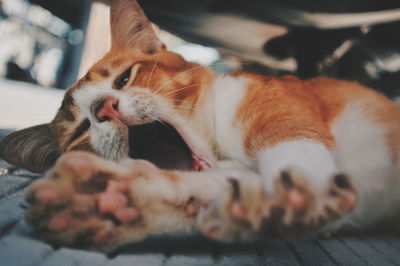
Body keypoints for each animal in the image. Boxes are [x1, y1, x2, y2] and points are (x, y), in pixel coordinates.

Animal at [0, 0, 400, 251]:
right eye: (81, 129)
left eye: (124, 78)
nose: (103, 107)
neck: (218, 144)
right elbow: (214, 189)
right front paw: (113, 199)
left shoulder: (279, 109)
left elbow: (295, 151)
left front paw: (301, 191)